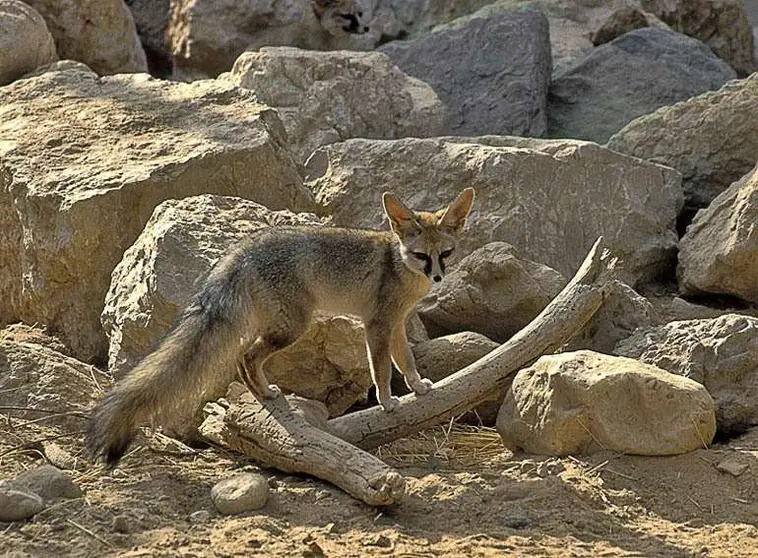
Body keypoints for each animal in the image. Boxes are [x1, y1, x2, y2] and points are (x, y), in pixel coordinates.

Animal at [84, 188, 476, 468]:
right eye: (421, 256)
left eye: (446, 254)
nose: (437, 278)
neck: (398, 265)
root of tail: (244, 248)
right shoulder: (377, 324)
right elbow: (381, 368)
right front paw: (387, 402)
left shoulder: (396, 325)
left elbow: (405, 360)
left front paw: (419, 388)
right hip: (293, 328)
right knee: (245, 356)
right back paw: (266, 394)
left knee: (243, 358)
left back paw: (262, 396)